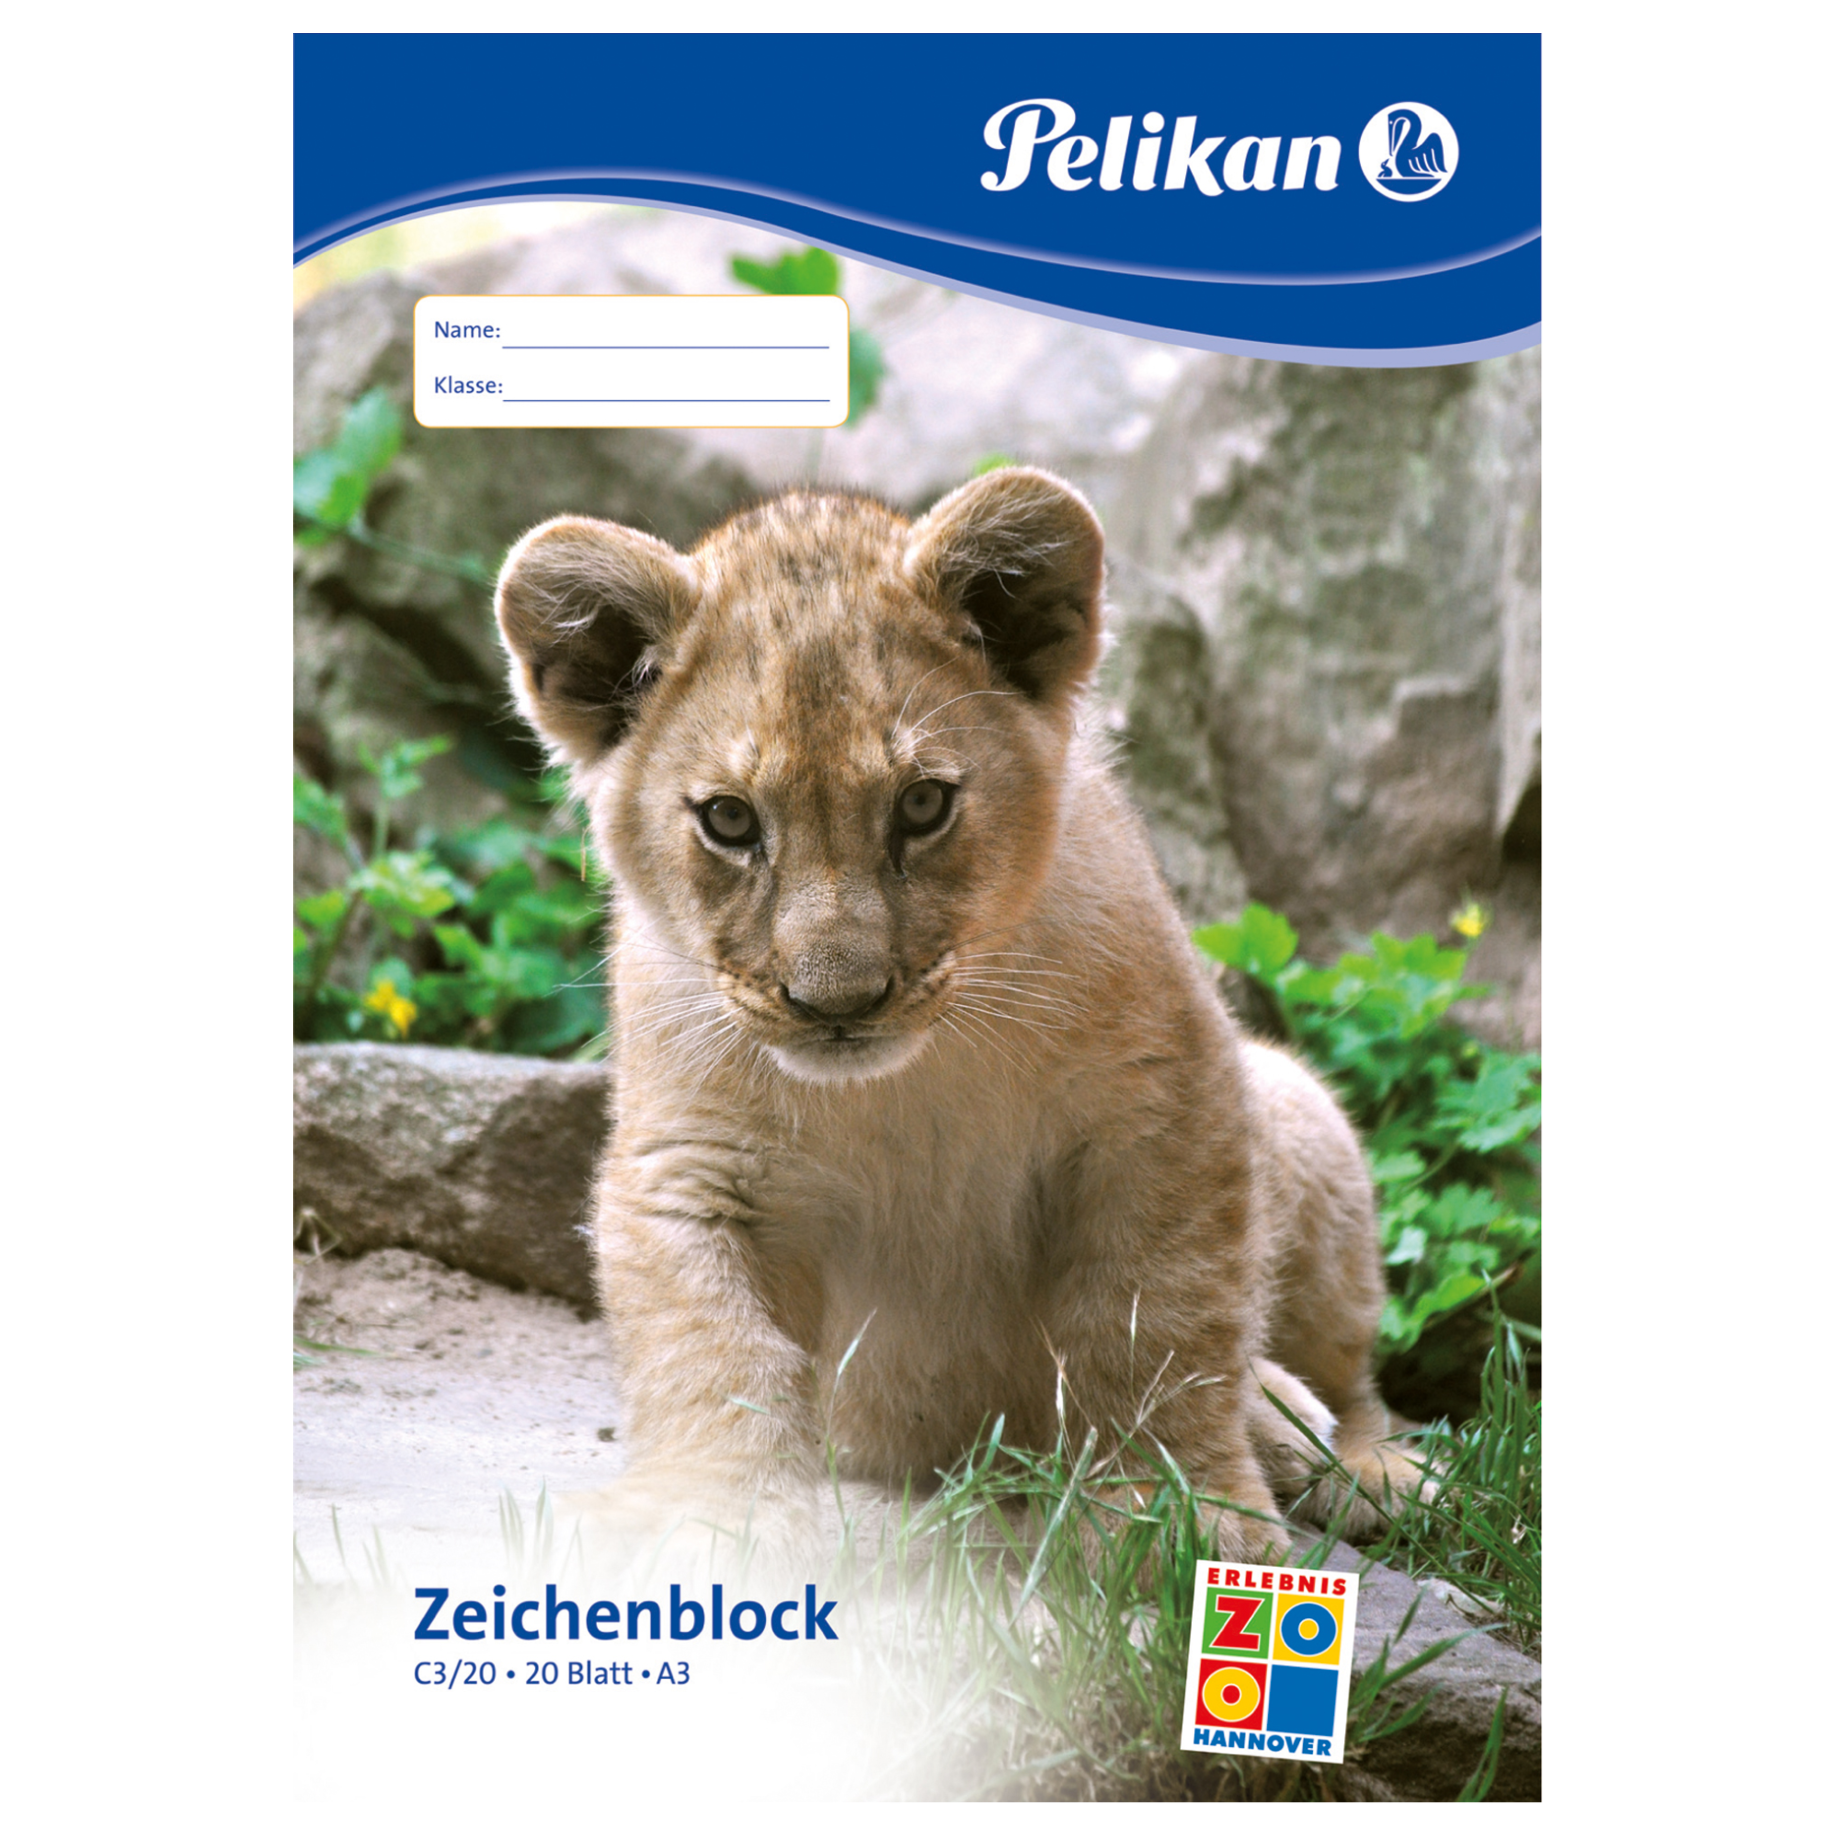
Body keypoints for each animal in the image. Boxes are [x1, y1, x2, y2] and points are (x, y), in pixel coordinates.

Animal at [495, 466, 1416, 1561]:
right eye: (728, 820)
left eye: (922, 806)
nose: (838, 1003)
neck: (899, 1086)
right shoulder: (687, 1167)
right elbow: (708, 1351)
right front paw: (705, 1519)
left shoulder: (1164, 1117)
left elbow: (1159, 1328)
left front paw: (1185, 1526)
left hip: (1301, 1114)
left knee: (1345, 1373)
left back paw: (1350, 1459)